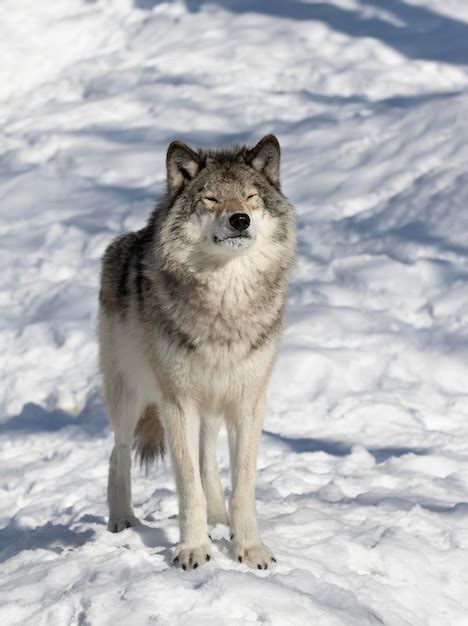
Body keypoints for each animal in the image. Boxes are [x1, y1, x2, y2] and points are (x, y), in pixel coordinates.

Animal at [98, 134, 296, 568]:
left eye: (251, 196)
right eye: (210, 198)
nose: (240, 219)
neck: (226, 298)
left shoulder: (248, 400)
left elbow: (242, 484)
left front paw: (248, 547)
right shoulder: (177, 402)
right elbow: (188, 486)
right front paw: (192, 549)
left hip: (211, 405)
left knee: (207, 457)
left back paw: (219, 518)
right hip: (131, 396)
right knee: (118, 453)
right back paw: (122, 519)